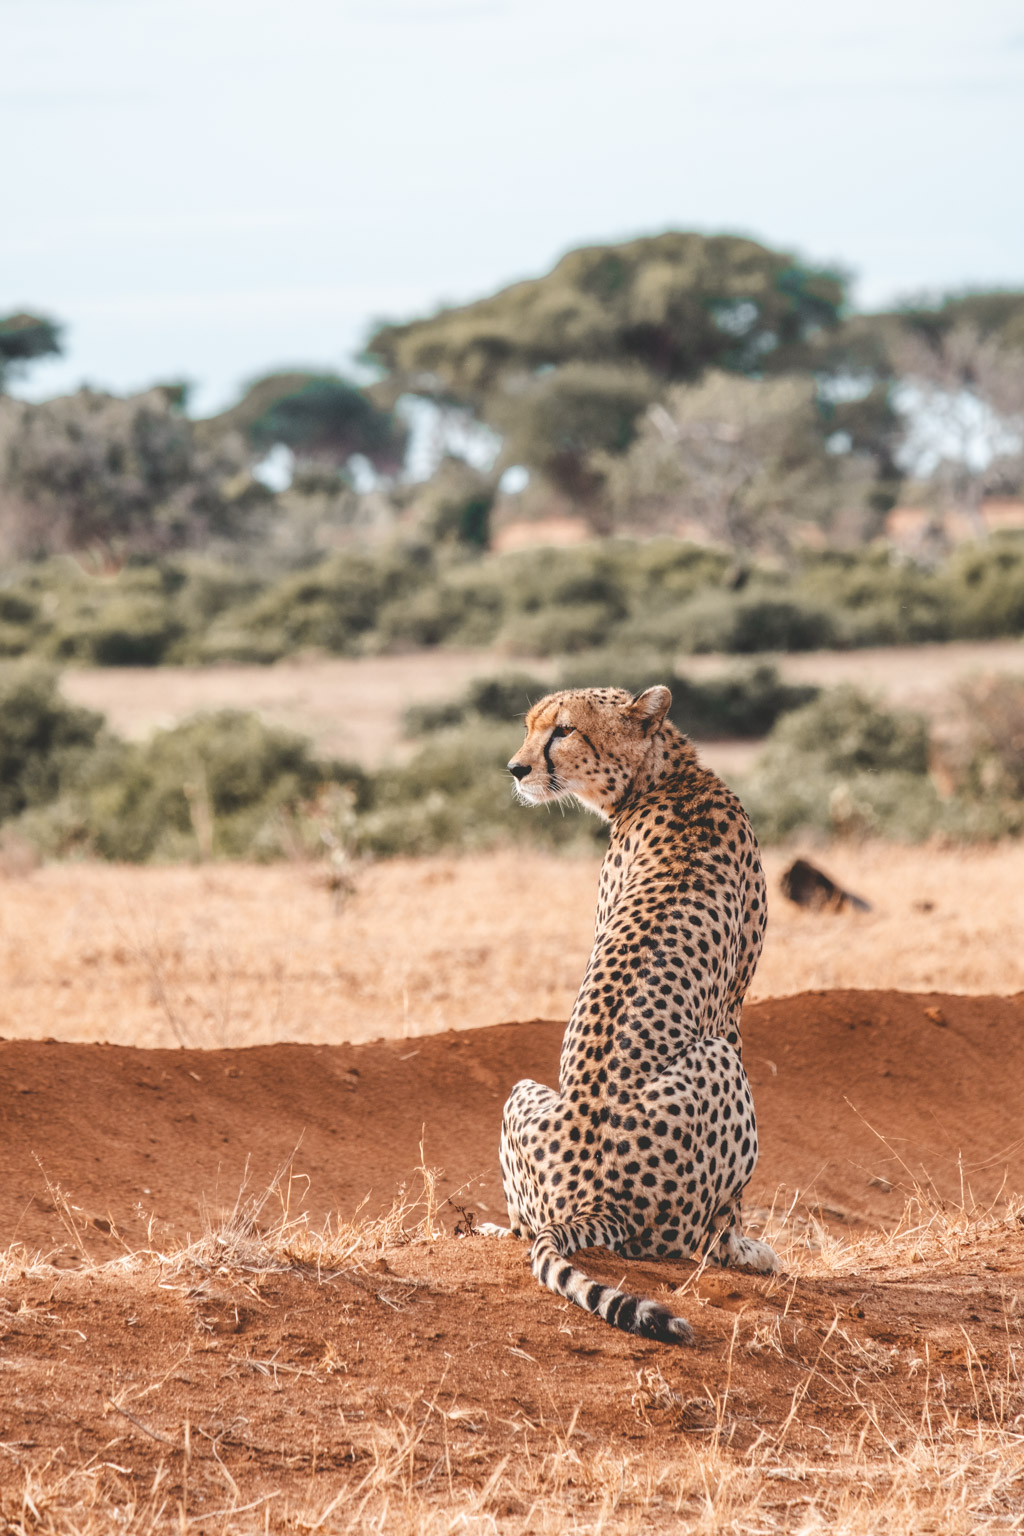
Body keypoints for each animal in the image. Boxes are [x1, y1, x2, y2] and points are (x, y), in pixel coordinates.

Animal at [478, 684, 778, 1343]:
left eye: (563, 730)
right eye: (532, 727)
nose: (515, 768)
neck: (668, 777)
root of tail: (594, 1197)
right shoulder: (731, 1013)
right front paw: (746, 1247)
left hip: (521, 1093)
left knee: (524, 1224)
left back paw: (490, 1227)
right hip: (719, 1062)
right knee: (698, 1238)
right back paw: (742, 1250)